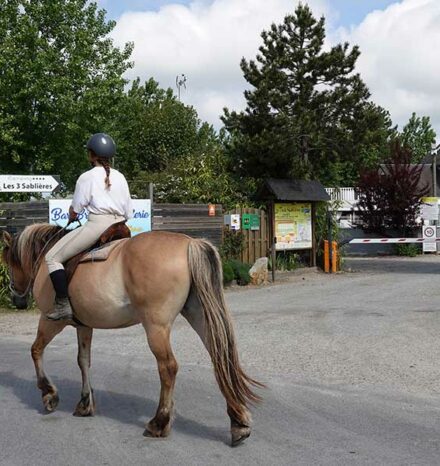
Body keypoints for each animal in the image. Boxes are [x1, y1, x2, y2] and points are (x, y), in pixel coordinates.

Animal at [1, 224, 262, 446]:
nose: (16, 297)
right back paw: (238, 423)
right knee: (220, 358)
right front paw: (85, 403)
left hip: (156, 327)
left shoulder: (50, 321)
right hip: (199, 316)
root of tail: (190, 243)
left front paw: (48, 394)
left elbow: (36, 350)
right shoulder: (84, 326)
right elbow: (83, 361)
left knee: (168, 367)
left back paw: (159, 423)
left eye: (8, 261)